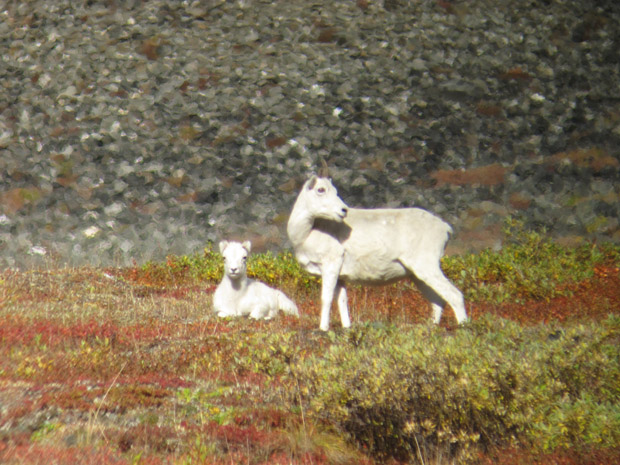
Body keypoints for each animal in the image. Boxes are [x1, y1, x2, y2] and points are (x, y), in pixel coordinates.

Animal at [288, 174, 468, 330]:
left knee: (454, 295)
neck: (306, 233)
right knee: (437, 301)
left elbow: (326, 298)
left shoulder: (330, 265)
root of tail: (444, 227)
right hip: (418, 276)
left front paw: (323, 328)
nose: (343, 210)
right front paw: (347, 327)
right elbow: (342, 301)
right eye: (321, 190)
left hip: (427, 268)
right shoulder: (340, 277)